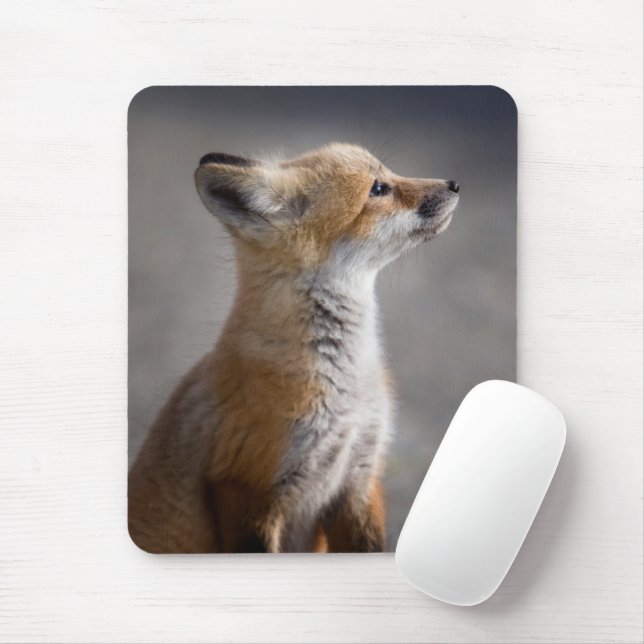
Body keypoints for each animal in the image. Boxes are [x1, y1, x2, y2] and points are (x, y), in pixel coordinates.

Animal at [128, 143, 459, 554]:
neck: (345, 394)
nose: (454, 183)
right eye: (378, 189)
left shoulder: (360, 477)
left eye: (388, 174)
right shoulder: (247, 488)